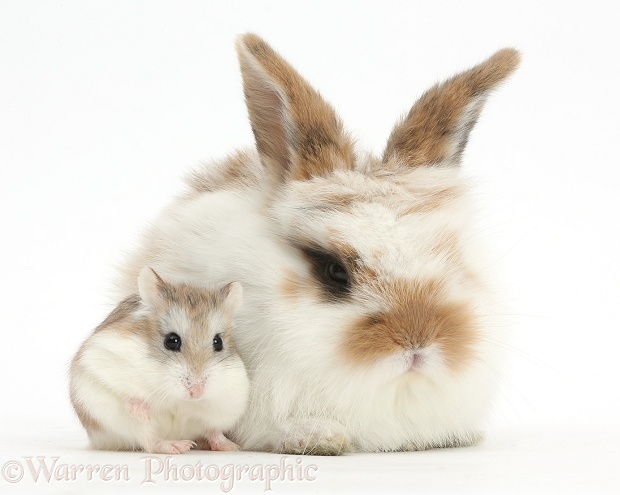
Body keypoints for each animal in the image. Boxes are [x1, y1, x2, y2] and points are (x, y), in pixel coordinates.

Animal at [69, 268, 249, 454]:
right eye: (172, 341)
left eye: (218, 342)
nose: (196, 392)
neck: (178, 399)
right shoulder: (100, 359)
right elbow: (124, 392)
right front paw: (141, 410)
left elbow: (211, 422)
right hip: (116, 421)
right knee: (149, 440)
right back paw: (178, 446)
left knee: (213, 432)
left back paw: (230, 447)